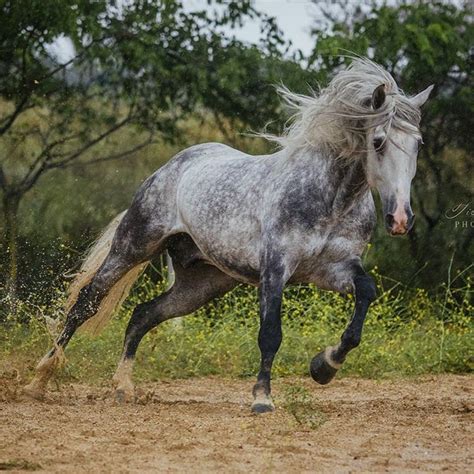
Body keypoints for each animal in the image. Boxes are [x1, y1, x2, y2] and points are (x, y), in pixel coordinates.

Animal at [25, 58, 434, 412]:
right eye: (379, 141)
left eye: (417, 144)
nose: (400, 219)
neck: (330, 198)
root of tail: (171, 167)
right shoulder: (275, 269)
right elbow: (270, 333)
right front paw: (262, 398)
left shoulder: (332, 269)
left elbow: (364, 296)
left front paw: (324, 367)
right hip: (133, 246)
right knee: (87, 302)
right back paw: (39, 380)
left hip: (202, 284)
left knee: (143, 315)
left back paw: (123, 387)